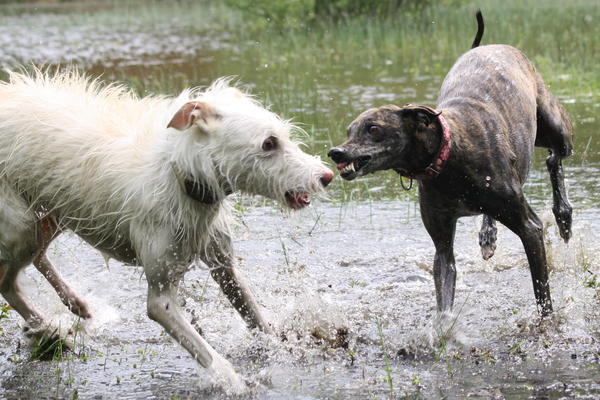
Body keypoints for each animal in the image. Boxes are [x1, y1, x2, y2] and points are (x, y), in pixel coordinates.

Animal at [0, 68, 332, 390]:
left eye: (284, 136)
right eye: (268, 143)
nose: (326, 176)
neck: (181, 172)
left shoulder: (223, 264)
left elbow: (253, 314)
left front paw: (280, 346)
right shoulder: (161, 298)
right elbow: (204, 350)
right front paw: (233, 382)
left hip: (53, 213)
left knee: (37, 258)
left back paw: (74, 304)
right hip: (24, 223)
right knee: (7, 281)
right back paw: (46, 330)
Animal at [328, 12, 572, 318]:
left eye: (373, 128)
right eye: (350, 130)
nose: (336, 152)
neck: (447, 158)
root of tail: (488, 45)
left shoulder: (530, 228)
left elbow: (542, 293)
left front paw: (547, 322)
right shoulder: (442, 243)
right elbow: (444, 292)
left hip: (555, 128)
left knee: (555, 157)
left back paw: (564, 215)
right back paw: (488, 235)